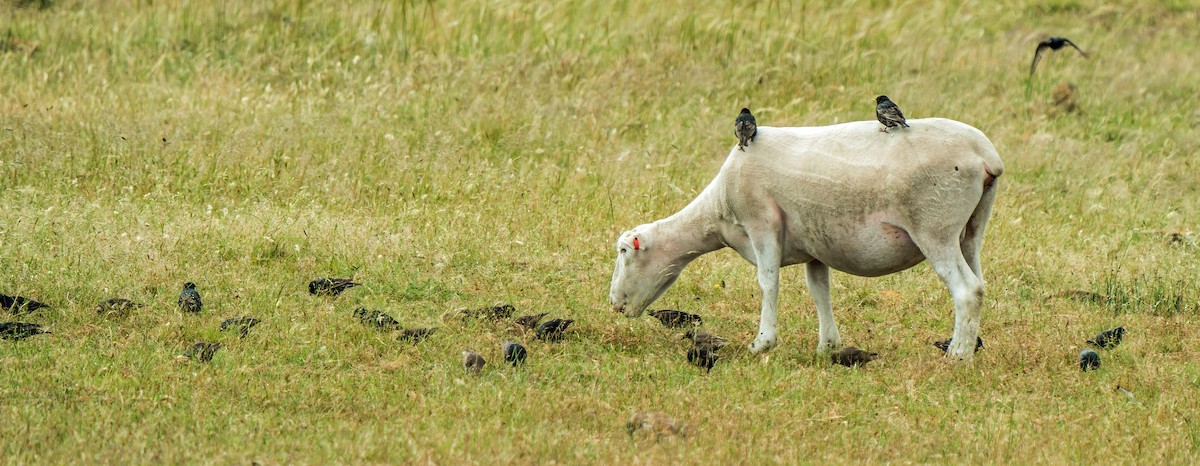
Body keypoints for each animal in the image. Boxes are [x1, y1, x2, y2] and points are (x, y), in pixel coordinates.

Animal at [609, 118, 1003, 357]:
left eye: (624, 251)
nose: (613, 304)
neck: (718, 210)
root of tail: (986, 157)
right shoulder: (816, 246)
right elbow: (819, 290)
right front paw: (827, 347)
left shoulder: (762, 222)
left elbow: (768, 282)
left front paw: (762, 344)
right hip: (971, 230)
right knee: (980, 283)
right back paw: (970, 345)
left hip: (934, 228)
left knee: (967, 290)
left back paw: (957, 356)